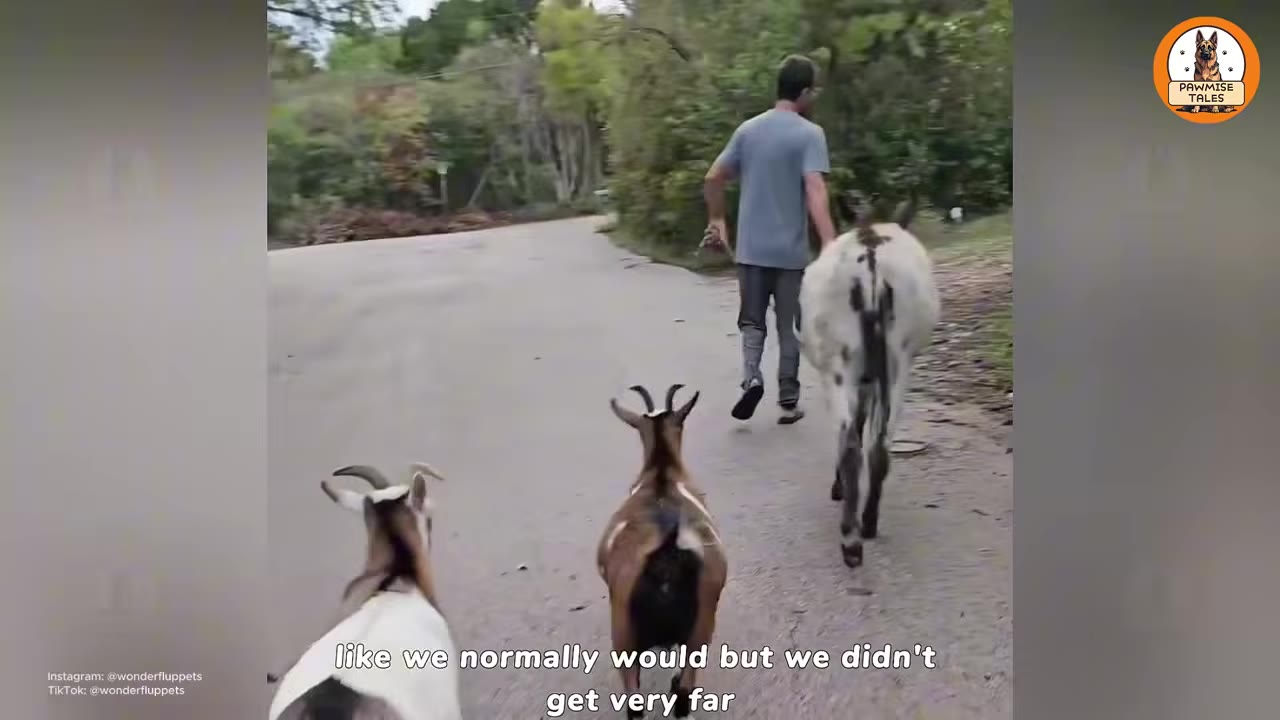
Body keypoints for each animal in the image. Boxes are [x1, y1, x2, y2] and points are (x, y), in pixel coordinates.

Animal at [598, 385, 727, 720]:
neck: (661, 472)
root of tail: (668, 550)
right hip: (700, 628)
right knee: (683, 693)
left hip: (624, 634)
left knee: (638, 701)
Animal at [797, 200, 940, 568]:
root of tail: (871, 256)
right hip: (898, 360)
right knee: (879, 445)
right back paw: (869, 522)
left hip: (839, 364)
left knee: (852, 443)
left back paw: (851, 538)